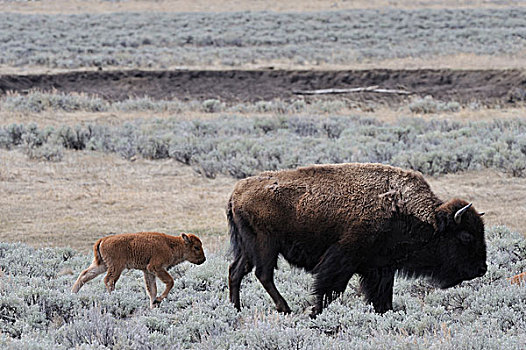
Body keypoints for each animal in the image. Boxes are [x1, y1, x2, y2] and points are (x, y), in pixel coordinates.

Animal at [71, 231, 206, 308]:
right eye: (196, 247)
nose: (203, 259)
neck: (170, 244)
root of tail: (103, 240)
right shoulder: (156, 267)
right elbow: (170, 282)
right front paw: (158, 300)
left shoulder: (148, 271)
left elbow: (152, 290)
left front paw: (153, 305)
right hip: (116, 267)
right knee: (109, 281)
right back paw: (114, 298)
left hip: (102, 265)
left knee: (85, 275)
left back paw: (72, 294)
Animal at [229, 163, 488, 316]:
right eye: (466, 236)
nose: (482, 269)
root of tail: (237, 191)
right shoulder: (343, 259)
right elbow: (328, 288)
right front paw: (315, 312)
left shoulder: (381, 267)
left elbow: (381, 295)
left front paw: (385, 313)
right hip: (265, 245)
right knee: (263, 274)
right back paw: (286, 309)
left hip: (247, 247)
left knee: (236, 271)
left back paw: (236, 308)